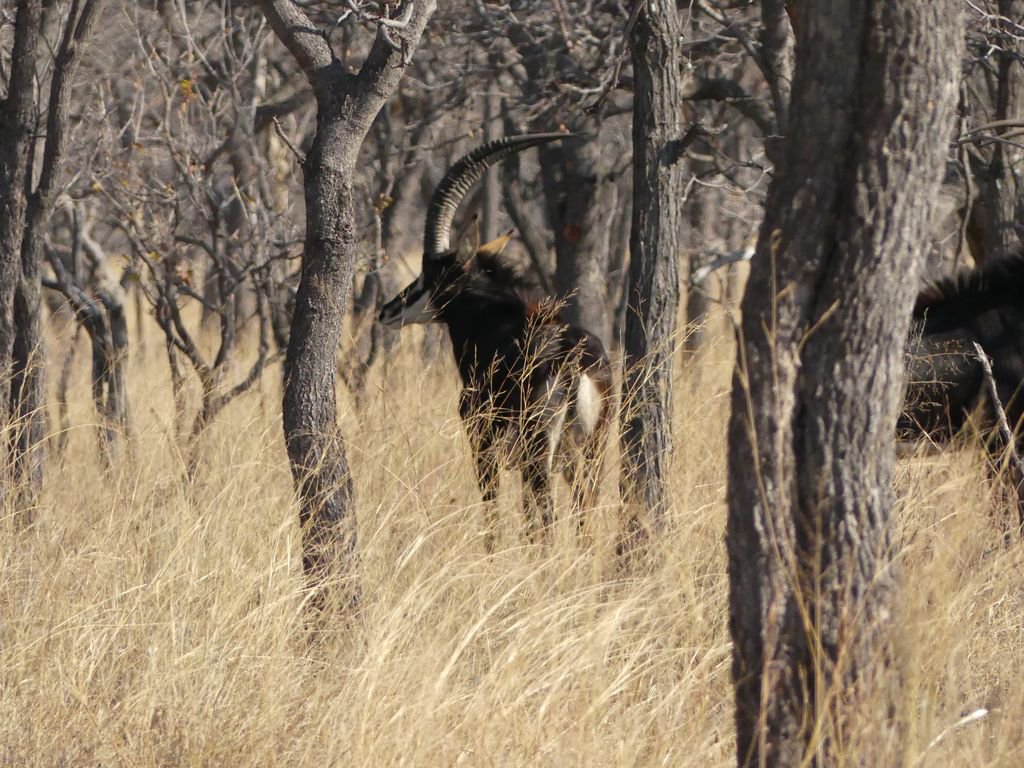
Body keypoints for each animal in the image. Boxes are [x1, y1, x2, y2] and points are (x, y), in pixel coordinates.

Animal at [379, 134, 612, 548]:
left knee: (548, 520)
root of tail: (574, 362)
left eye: (431, 275)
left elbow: (493, 514)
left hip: (539, 453)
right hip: (590, 452)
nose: (388, 311)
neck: (494, 320)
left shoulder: (482, 444)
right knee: (584, 514)